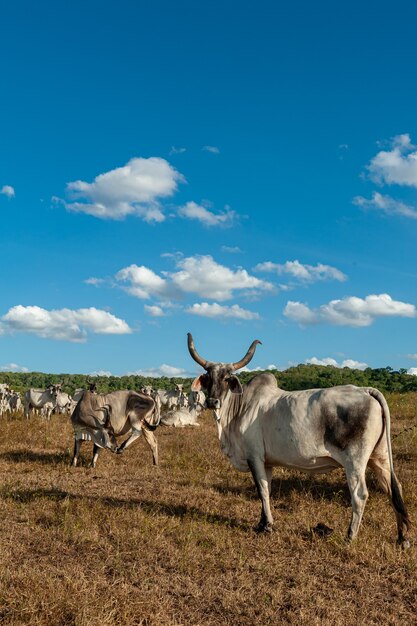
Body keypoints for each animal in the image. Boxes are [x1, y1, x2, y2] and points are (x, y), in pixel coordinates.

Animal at [188, 334, 410, 544]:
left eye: (227, 378)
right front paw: (262, 523)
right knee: (394, 488)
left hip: (355, 461)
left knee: (360, 495)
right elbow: (267, 489)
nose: (212, 401)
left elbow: (262, 490)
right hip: (380, 457)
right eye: (208, 378)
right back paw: (403, 538)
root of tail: (365, 390)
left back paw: (350, 537)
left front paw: (267, 526)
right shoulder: (267, 462)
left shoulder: (254, 456)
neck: (239, 408)